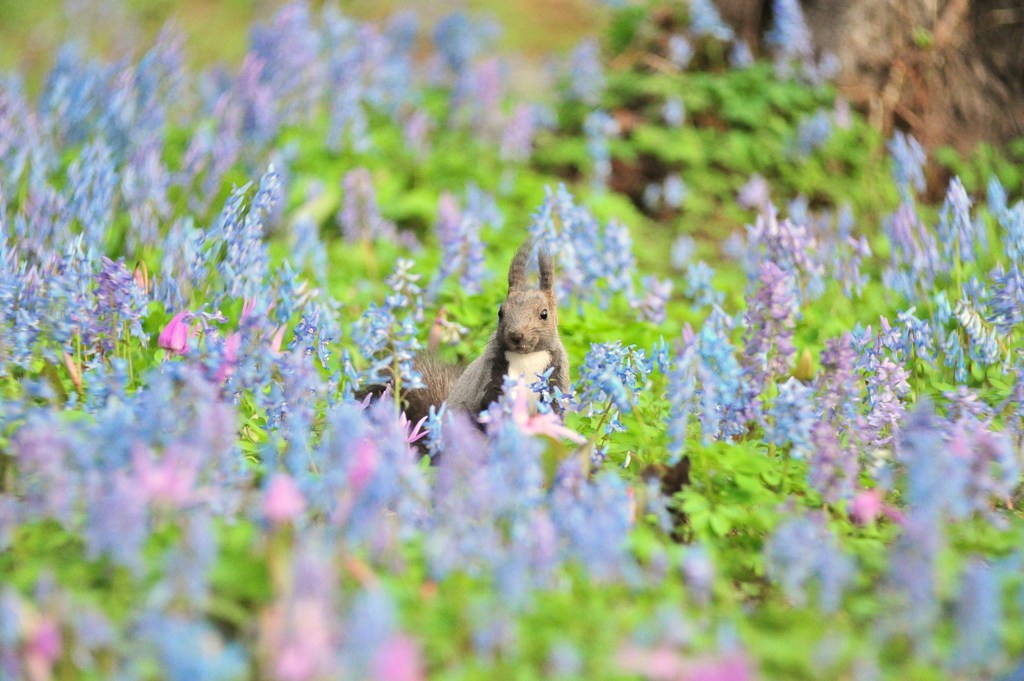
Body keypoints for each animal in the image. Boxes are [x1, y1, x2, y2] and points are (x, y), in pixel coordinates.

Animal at [397, 240, 569, 430]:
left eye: (544, 314)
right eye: (500, 312)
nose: (516, 335)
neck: (526, 357)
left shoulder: (556, 373)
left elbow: (554, 408)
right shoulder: (489, 372)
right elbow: (487, 400)